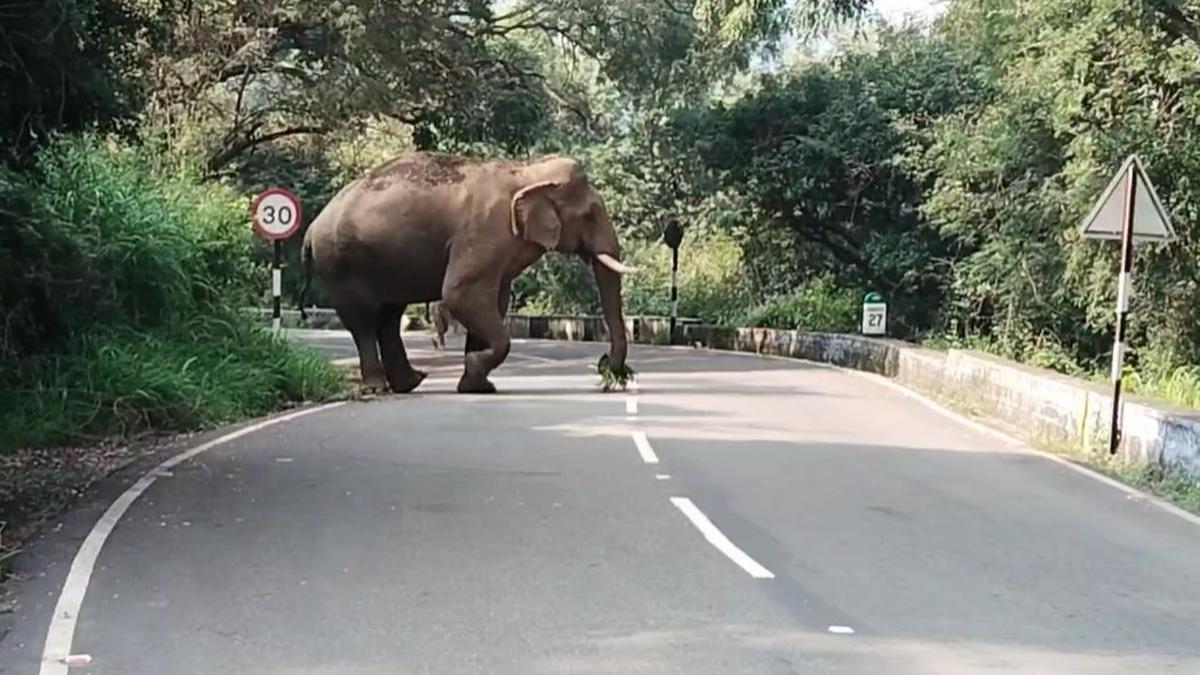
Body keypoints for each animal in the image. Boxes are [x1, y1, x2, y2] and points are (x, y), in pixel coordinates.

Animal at [299, 151, 635, 394]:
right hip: (341, 263)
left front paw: (477, 385)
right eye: (590, 215)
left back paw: (412, 382)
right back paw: (378, 388)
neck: (526, 170)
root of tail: (311, 229)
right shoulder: (485, 231)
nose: (605, 366)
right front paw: (476, 370)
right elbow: (462, 294)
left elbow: (494, 302)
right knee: (365, 321)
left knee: (390, 316)